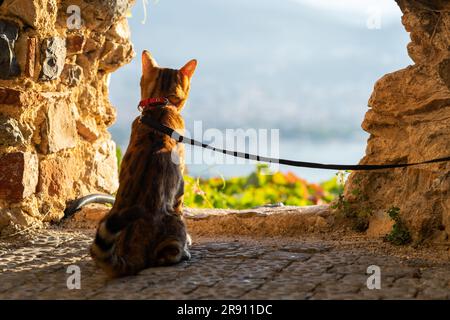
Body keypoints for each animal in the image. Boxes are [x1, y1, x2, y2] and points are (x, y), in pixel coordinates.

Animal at [89, 50, 197, 278]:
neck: (161, 105)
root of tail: (129, 253)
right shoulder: (180, 186)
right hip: (175, 220)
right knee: (165, 255)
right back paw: (184, 252)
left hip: (108, 216)